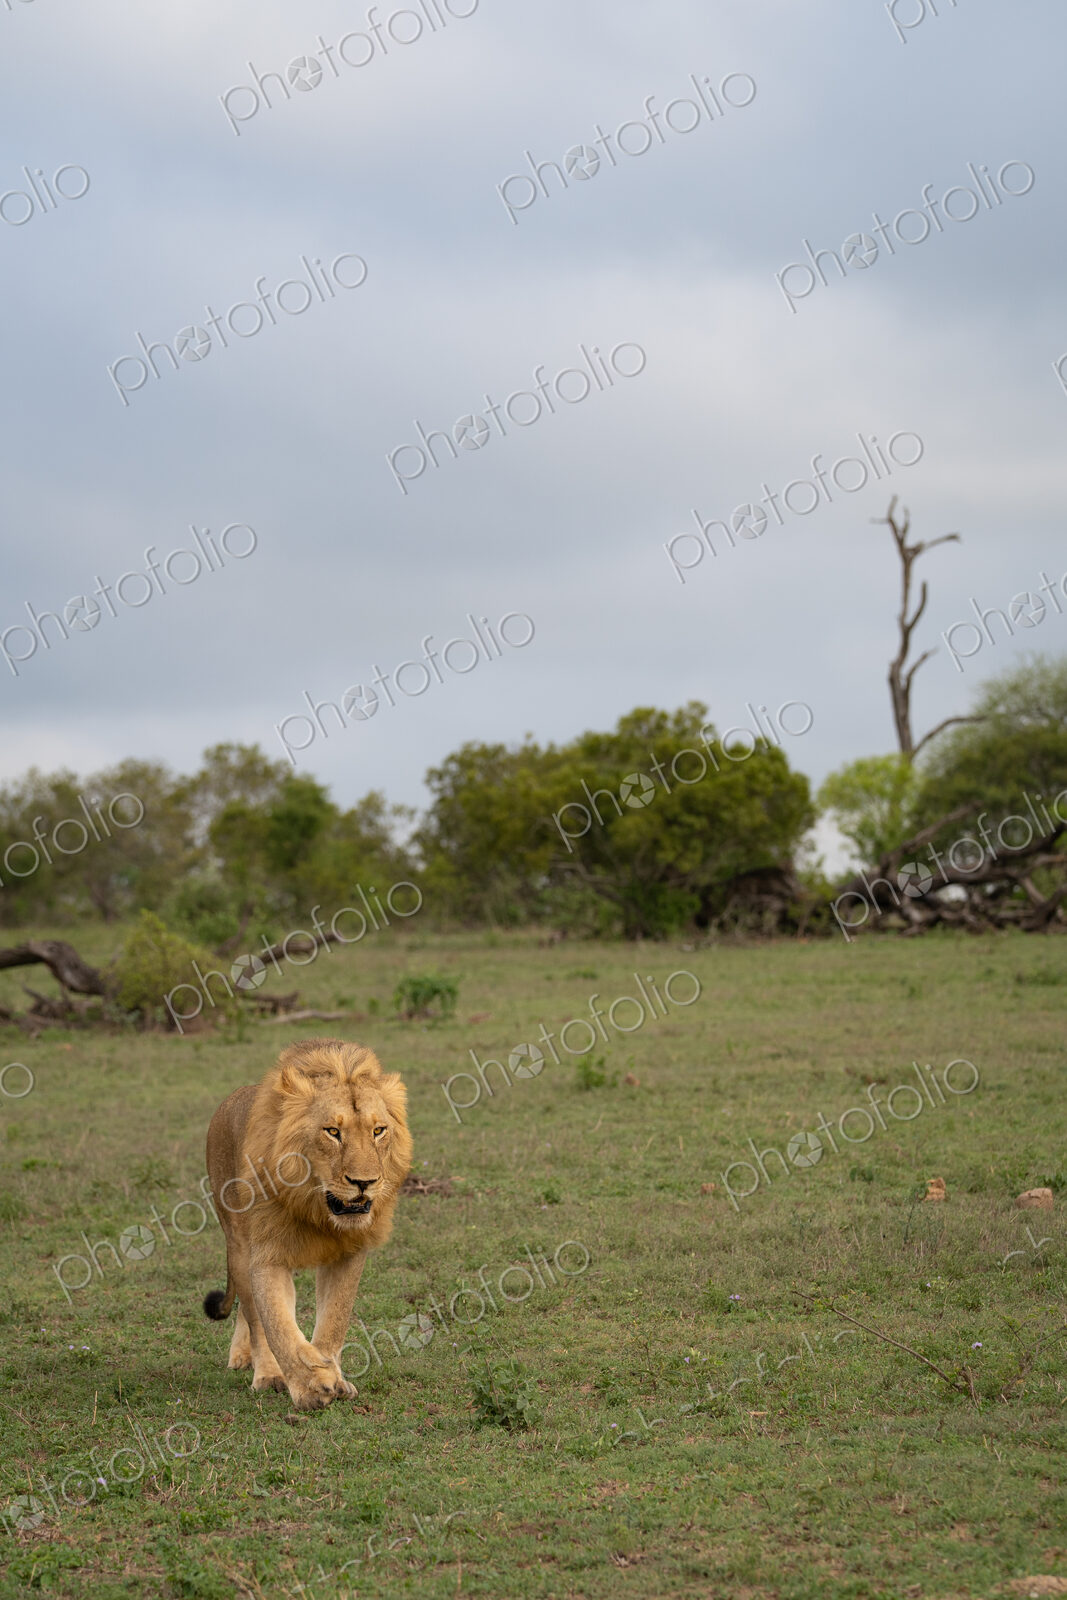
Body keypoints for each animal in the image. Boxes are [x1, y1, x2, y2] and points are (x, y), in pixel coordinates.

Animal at [202, 1038, 412, 1411]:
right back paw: (261, 1369)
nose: (364, 1182)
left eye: (378, 1130)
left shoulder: (350, 1252)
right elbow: (276, 1325)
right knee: (251, 1311)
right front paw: (309, 1386)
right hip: (238, 1243)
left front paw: (333, 1376)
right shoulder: (267, 1255)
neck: (318, 1211)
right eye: (333, 1132)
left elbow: (334, 1320)